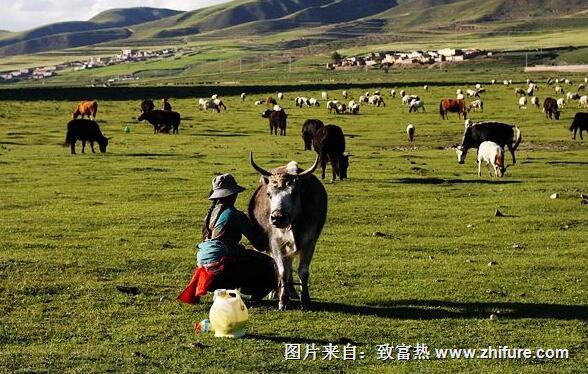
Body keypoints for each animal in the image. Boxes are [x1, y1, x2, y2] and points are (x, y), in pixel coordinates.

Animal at [247, 155, 326, 310]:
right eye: (269, 194)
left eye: (294, 193)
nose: (278, 217)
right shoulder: (275, 244)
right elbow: (283, 271)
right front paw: (283, 300)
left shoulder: (310, 242)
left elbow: (303, 271)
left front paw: (305, 300)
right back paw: (276, 293)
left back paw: (292, 293)